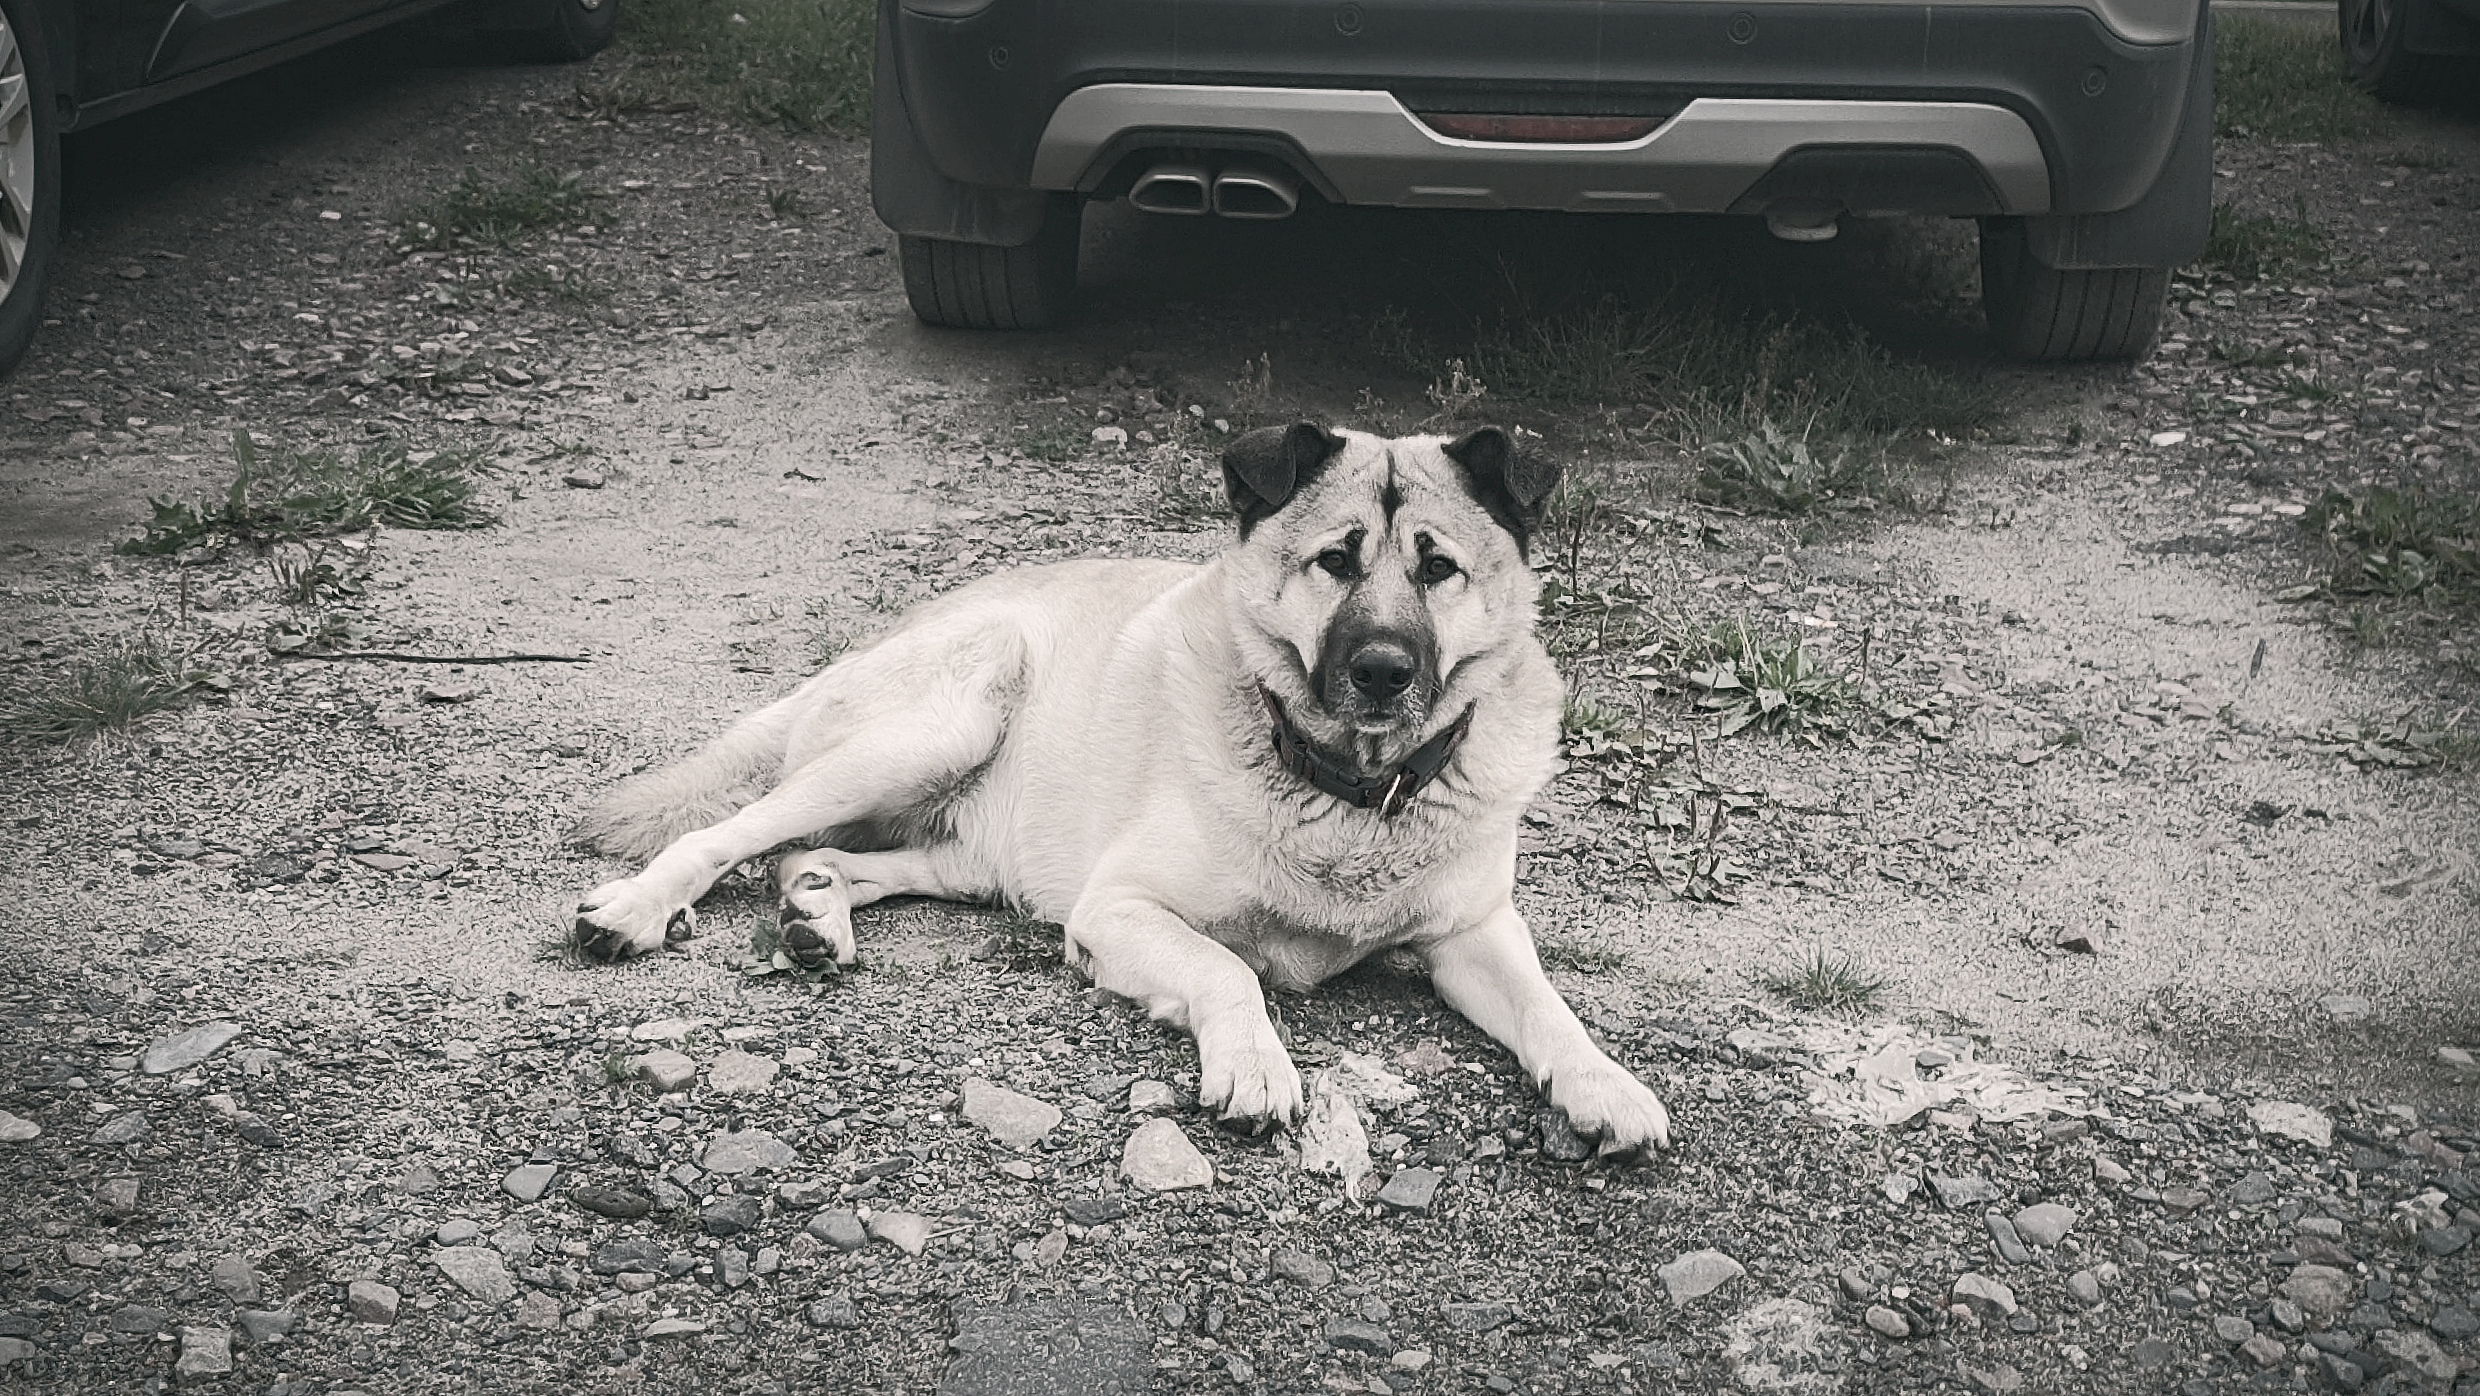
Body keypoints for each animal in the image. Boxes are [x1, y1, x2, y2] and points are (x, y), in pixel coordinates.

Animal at [570, 426, 1676, 1160]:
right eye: (1335, 561)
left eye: (1437, 568)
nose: (1382, 671)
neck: (1350, 790)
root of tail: (884, 636)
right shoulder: (1120, 910)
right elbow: (1226, 971)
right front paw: (1256, 1064)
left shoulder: (1474, 933)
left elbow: (1549, 1008)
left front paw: (1600, 1082)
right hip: (934, 727)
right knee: (729, 833)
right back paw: (634, 910)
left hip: (974, 856)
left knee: (824, 855)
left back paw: (815, 916)